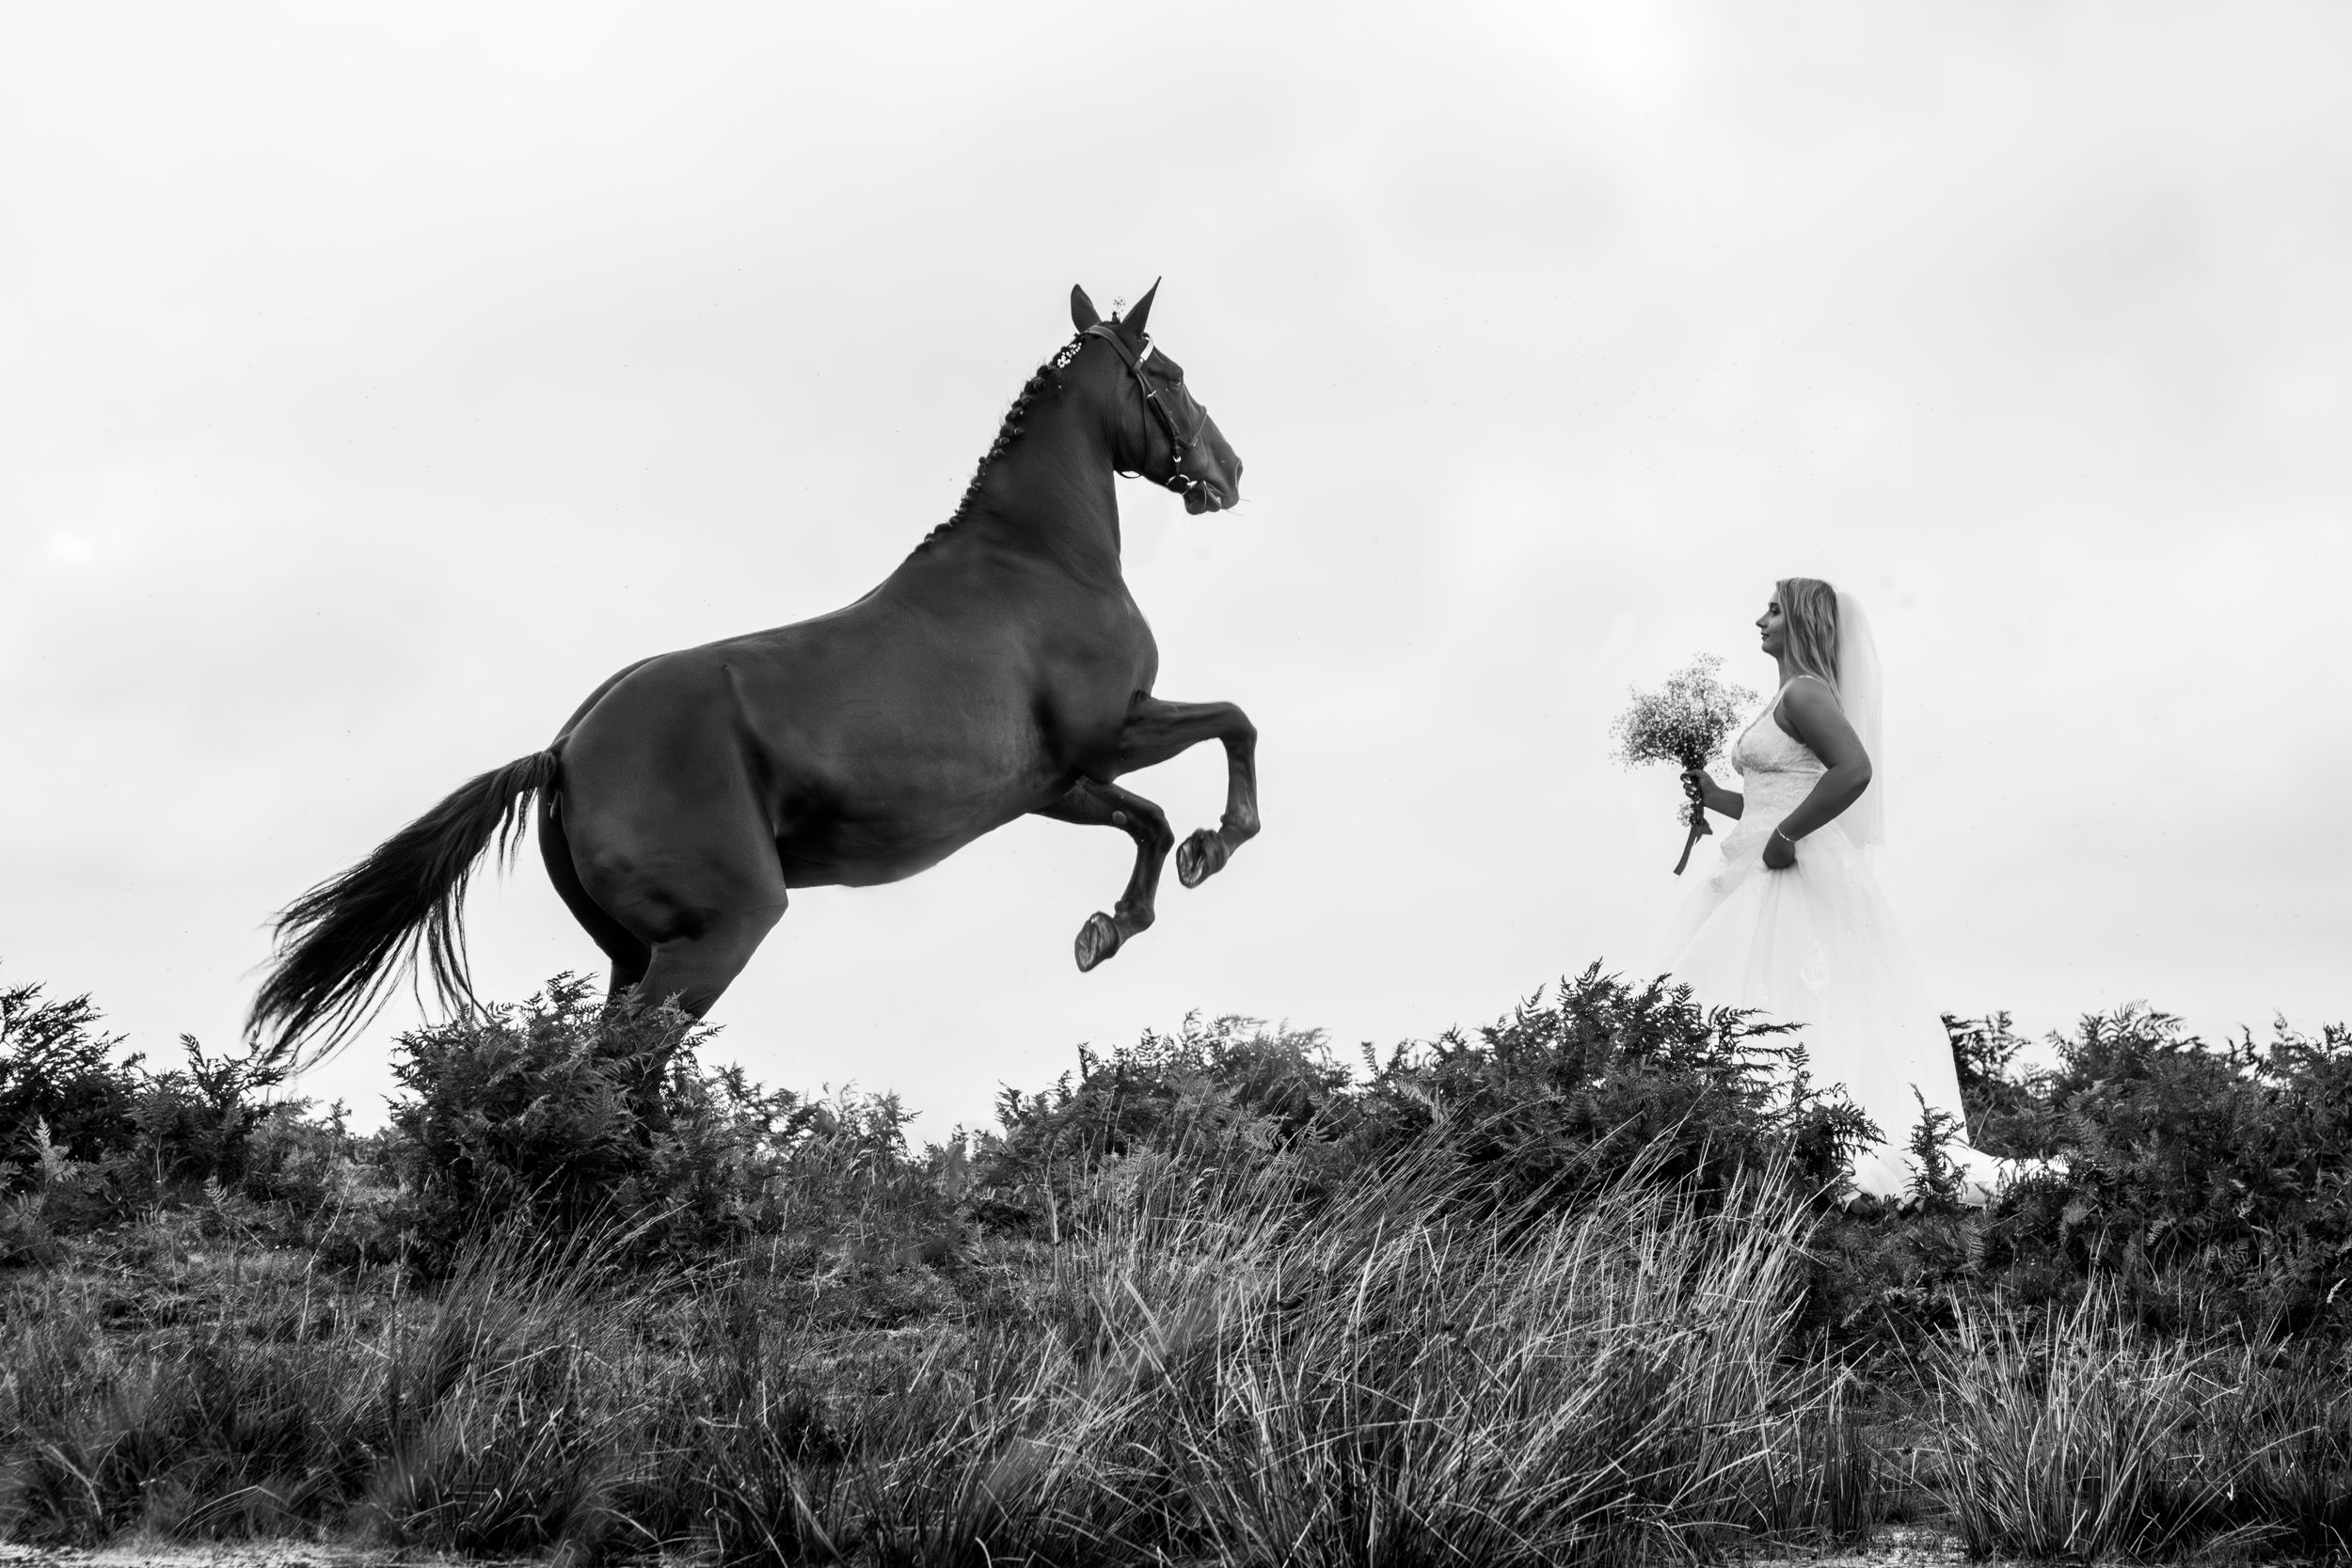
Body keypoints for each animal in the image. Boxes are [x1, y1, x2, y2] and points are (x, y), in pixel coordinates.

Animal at [247, 281, 1253, 1060]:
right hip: (720, 935)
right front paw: (1218, 844)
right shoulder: (1113, 731)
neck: (1039, 558)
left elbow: (1150, 821)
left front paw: (1110, 926)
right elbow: (1232, 724)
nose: (1231, 471)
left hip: (634, 955)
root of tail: (565, 750)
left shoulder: (1055, 783)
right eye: (1170, 375)